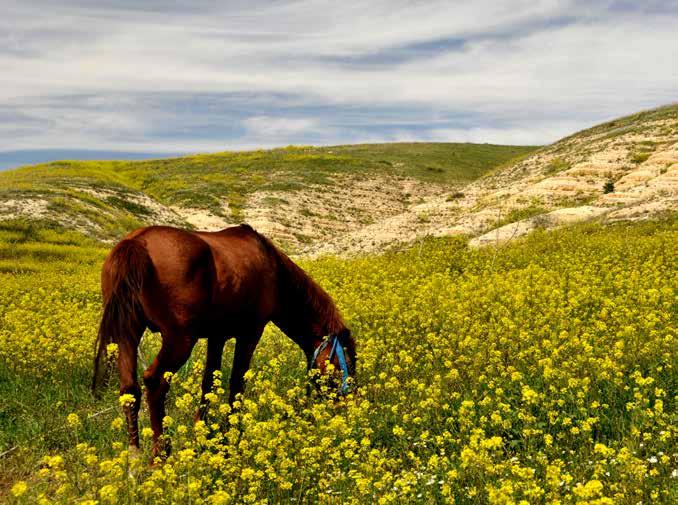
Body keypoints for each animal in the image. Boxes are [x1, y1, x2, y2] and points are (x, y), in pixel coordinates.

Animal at [90, 223, 356, 456]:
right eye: (343, 365)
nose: (345, 407)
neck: (273, 268)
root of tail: (136, 243)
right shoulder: (250, 333)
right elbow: (237, 383)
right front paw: (232, 436)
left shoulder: (217, 337)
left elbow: (209, 383)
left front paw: (204, 432)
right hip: (179, 340)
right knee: (155, 383)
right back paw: (160, 456)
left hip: (128, 334)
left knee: (129, 390)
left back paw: (134, 457)